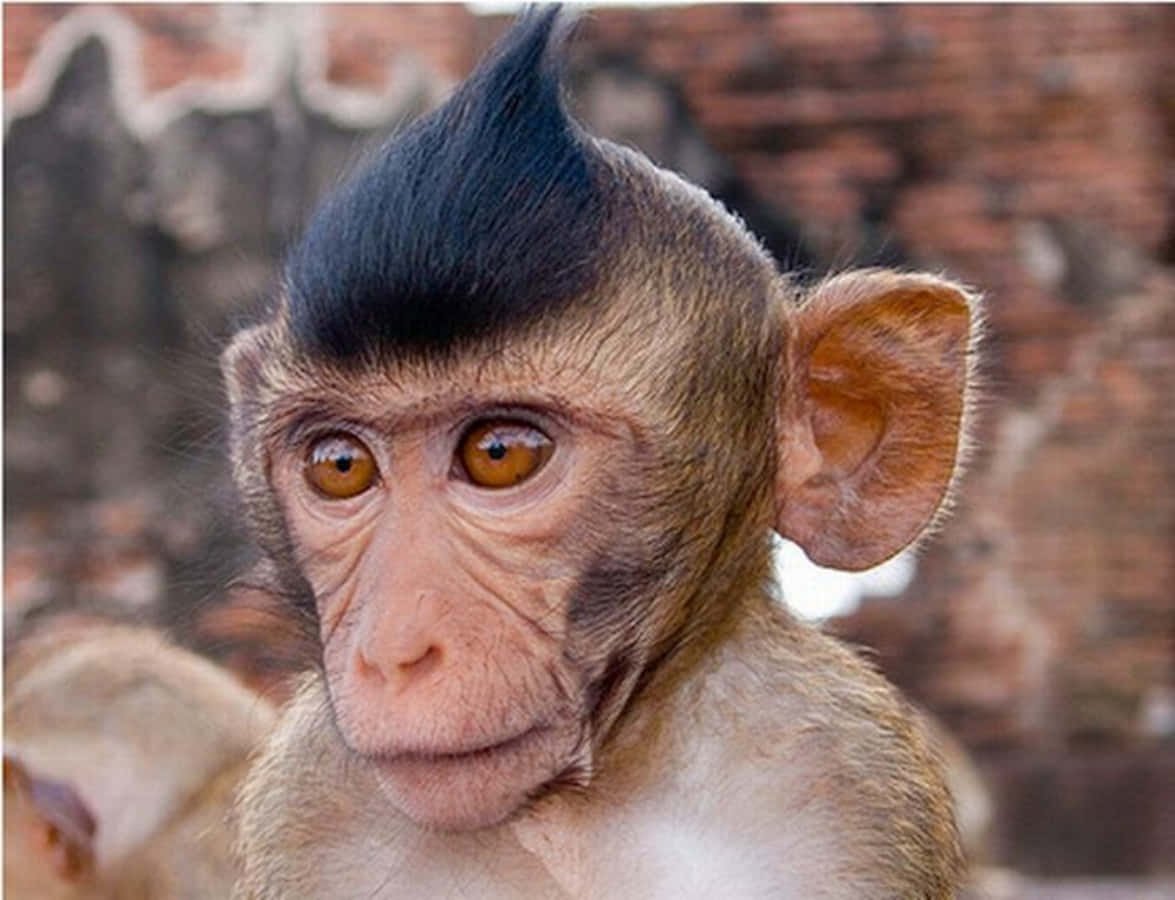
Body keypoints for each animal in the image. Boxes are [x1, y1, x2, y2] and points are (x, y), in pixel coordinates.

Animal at [226, 9, 978, 898]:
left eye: (499, 453)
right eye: (339, 467)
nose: (391, 652)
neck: (574, 810)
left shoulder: (848, 783)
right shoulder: (305, 806)